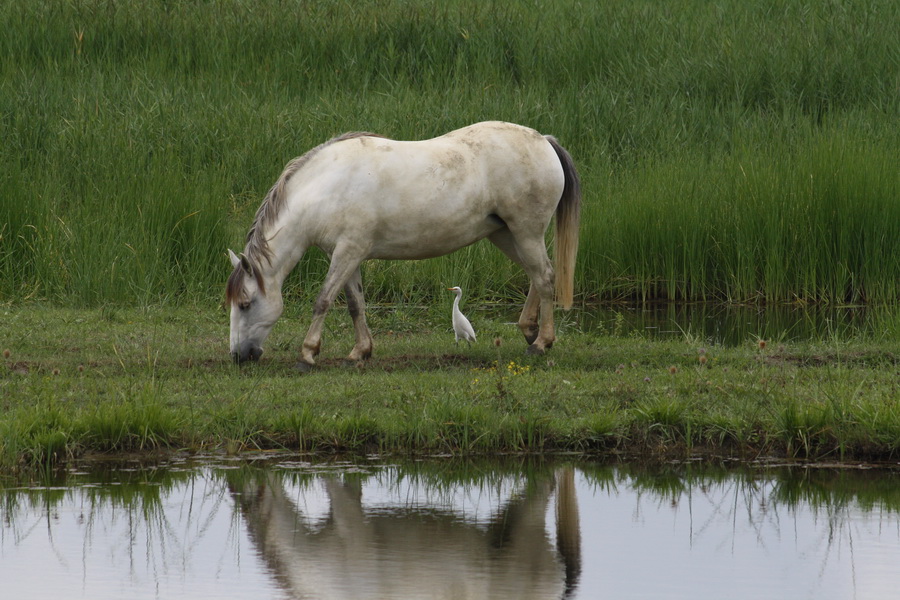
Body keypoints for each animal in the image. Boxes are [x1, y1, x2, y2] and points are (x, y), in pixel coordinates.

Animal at [221, 120, 580, 368]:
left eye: (245, 304)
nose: (238, 356)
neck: (326, 187)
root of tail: (543, 141)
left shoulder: (347, 252)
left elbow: (323, 301)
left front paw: (308, 355)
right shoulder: (348, 254)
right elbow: (355, 304)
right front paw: (360, 352)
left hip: (526, 232)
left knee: (545, 277)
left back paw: (540, 343)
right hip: (507, 235)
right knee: (537, 276)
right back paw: (529, 330)